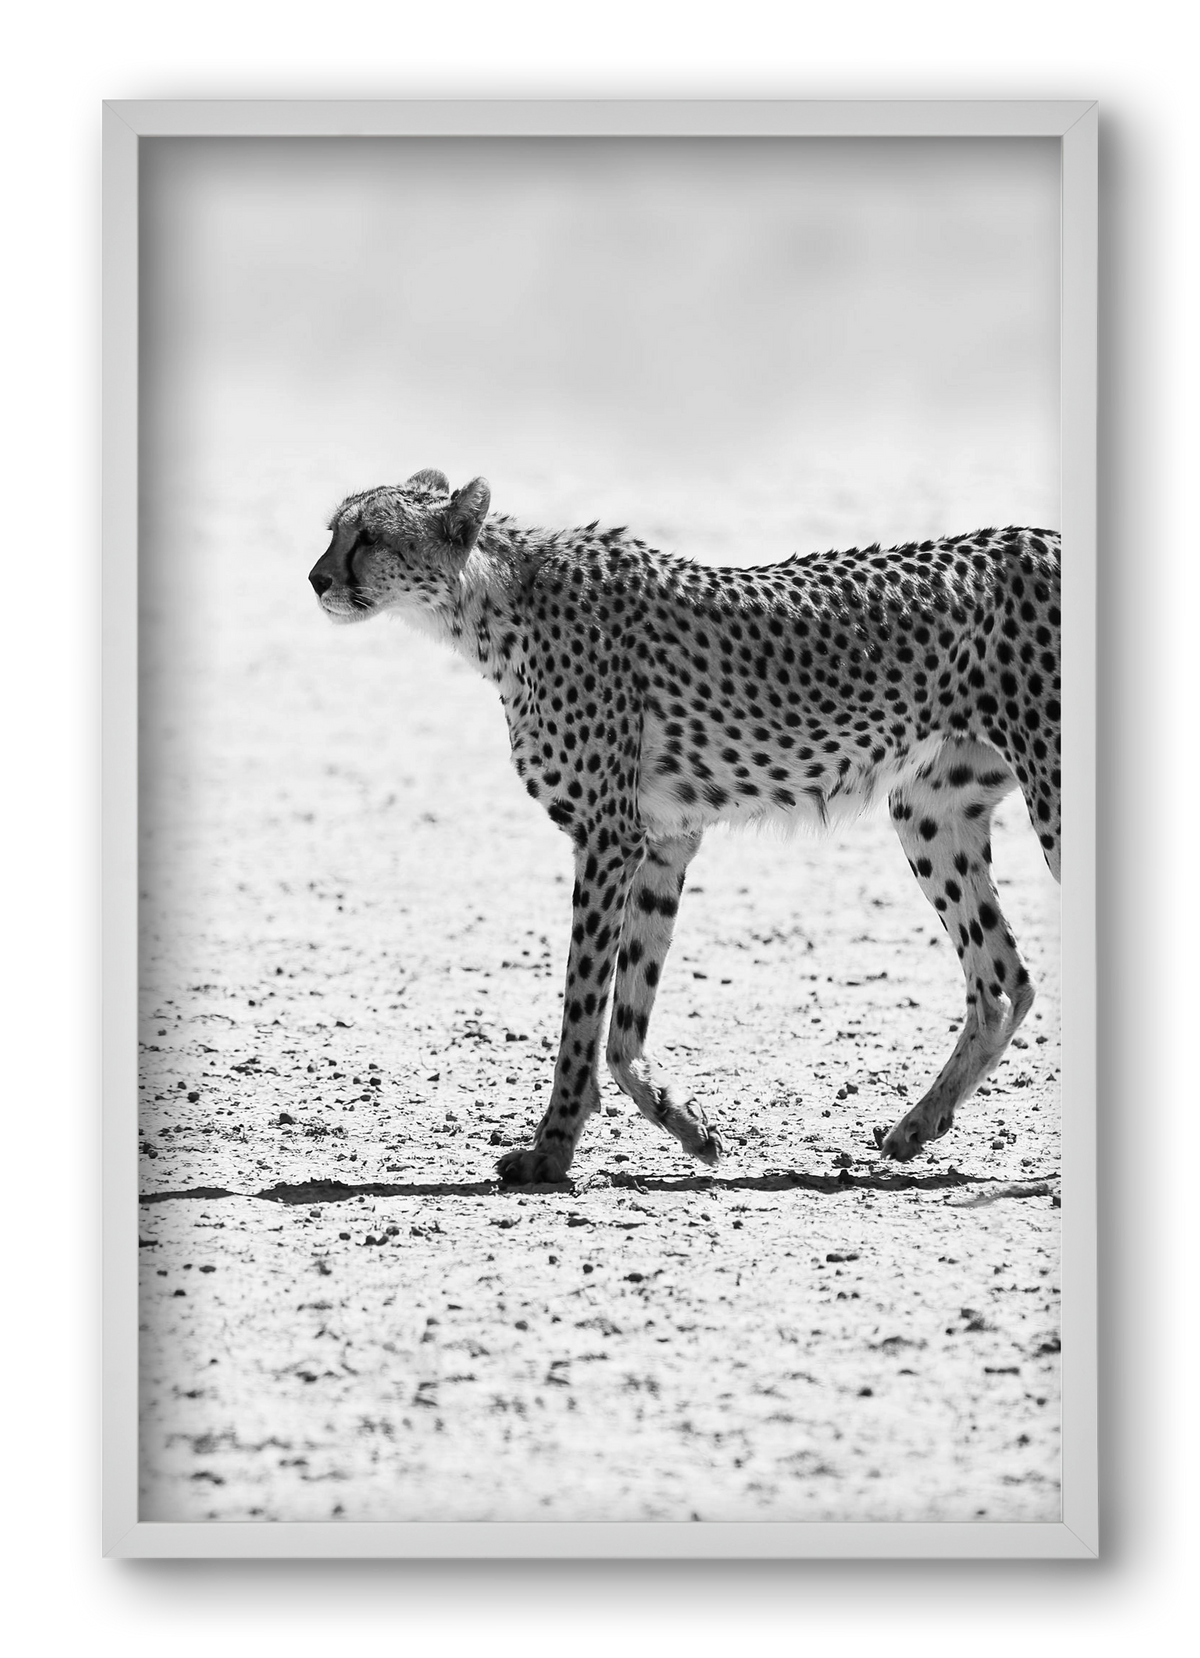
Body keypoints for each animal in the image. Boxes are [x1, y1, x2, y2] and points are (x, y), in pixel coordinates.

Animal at [309, 468, 1060, 1184]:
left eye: (369, 536)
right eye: (334, 530)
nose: (316, 578)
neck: (492, 601)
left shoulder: (607, 837)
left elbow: (583, 1008)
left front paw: (551, 1151)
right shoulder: (663, 840)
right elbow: (624, 1021)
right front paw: (687, 1124)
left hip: (1048, 797)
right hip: (930, 811)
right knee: (1002, 980)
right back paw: (917, 1125)